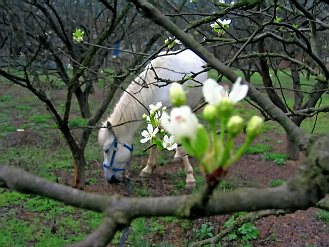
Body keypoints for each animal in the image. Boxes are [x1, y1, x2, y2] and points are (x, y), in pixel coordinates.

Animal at [96, 49, 206, 186]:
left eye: (106, 150)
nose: (110, 179)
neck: (157, 88)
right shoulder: (154, 117)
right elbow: (153, 141)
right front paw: (149, 168)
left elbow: (180, 145)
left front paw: (190, 178)